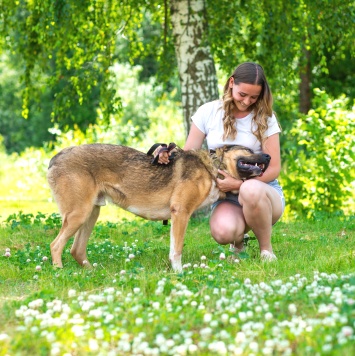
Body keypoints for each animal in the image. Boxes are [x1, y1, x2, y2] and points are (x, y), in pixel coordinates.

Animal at [46, 143, 270, 272]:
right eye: (249, 150)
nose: (268, 157)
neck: (211, 168)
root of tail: (55, 158)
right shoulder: (181, 213)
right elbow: (177, 250)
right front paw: (179, 273)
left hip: (90, 214)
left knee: (76, 250)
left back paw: (91, 271)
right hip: (79, 214)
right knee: (56, 245)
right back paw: (59, 271)